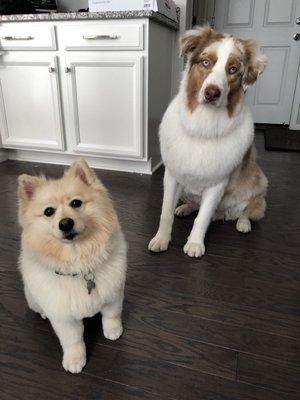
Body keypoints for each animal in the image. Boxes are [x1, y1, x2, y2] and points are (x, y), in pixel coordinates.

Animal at [149, 25, 268, 258]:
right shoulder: (172, 175)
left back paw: (243, 223)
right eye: (205, 62)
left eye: (233, 69)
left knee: (246, 210)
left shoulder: (217, 183)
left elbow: (202, 218)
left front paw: (195, 244)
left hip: (260, 188)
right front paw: (161, 239)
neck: (203, 126)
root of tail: (222, 214)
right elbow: (166, 212)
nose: (212, 93)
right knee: (193, 205)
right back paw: (184, 208)